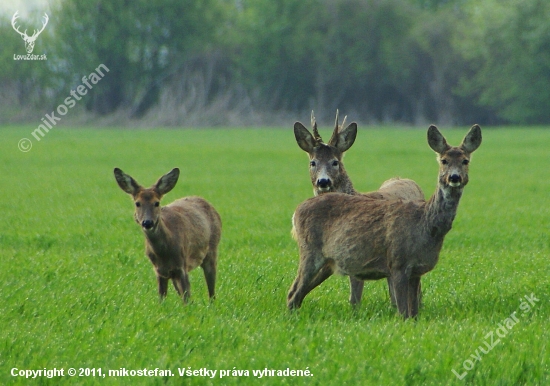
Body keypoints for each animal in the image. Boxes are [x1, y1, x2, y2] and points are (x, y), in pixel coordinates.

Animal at [114, 167, 222, 304]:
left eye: (157, 203)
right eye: (137, 203)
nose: (147, 222)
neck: (164, 252)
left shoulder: (182, 265)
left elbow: (187, 297)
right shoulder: (159, 271)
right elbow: (162, 298)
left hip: (212, 250)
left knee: (211, 290)